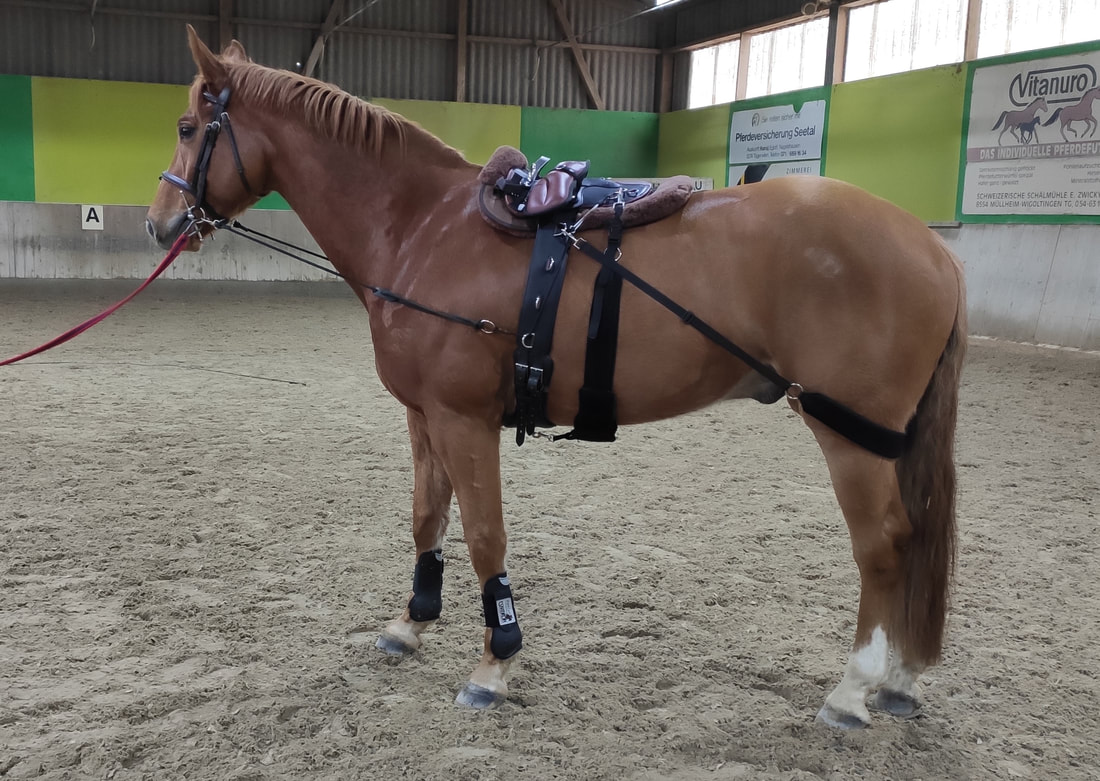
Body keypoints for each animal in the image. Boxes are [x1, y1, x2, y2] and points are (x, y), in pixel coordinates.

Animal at [146, 27, 966, 729]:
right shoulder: (423, 414)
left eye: (187, 127)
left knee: (885, 544)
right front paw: (410, 622)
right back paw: (898, 682)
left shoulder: (464, 419)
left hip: (847, 433)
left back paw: (854, 688)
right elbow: (427, 518)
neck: (421, 227)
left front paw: (495, 661)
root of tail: (927, 244)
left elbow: (485, 535)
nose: (159, 223)